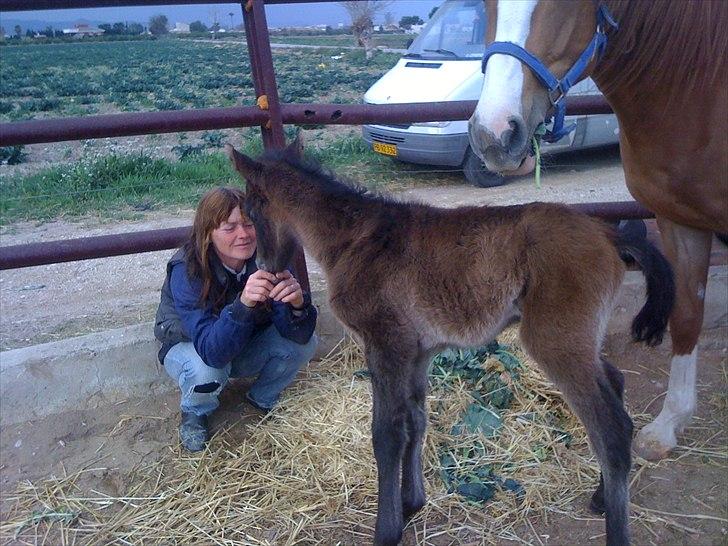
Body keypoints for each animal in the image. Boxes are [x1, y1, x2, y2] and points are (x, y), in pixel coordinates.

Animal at [225, 140, 672, 544]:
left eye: (251, 211)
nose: (264, 267)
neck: (355, 240)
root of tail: (609, 234)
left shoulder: (385, 345)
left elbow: (386, 434)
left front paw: (387, 530)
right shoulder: (417, 353)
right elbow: (415, 420)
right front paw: (411, 503)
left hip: (554, 341)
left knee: (612, 430)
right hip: (577, 339)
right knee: (615, 383)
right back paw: (599, 497)